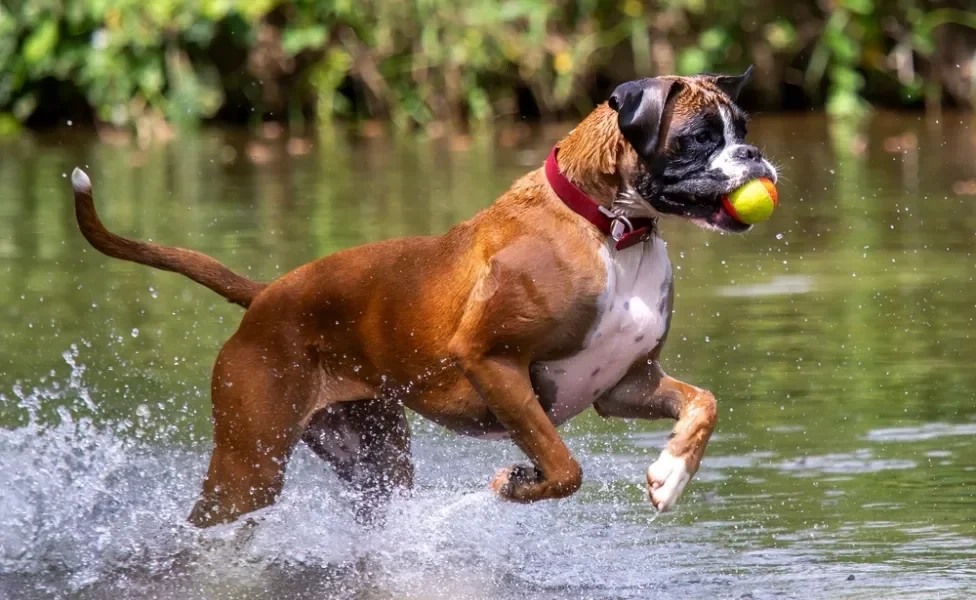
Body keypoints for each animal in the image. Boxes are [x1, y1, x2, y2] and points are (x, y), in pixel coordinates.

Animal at [68, 67, 776, 524]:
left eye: (741, 125)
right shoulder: (493, 363)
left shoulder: (625, 384)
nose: (755, 153)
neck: (610, 229)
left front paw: (671, 477)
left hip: (374, 462)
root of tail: (267, 297)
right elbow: (563, 466)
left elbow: (704, 404)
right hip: (249, 467)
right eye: (697, 139)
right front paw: (517, 484)